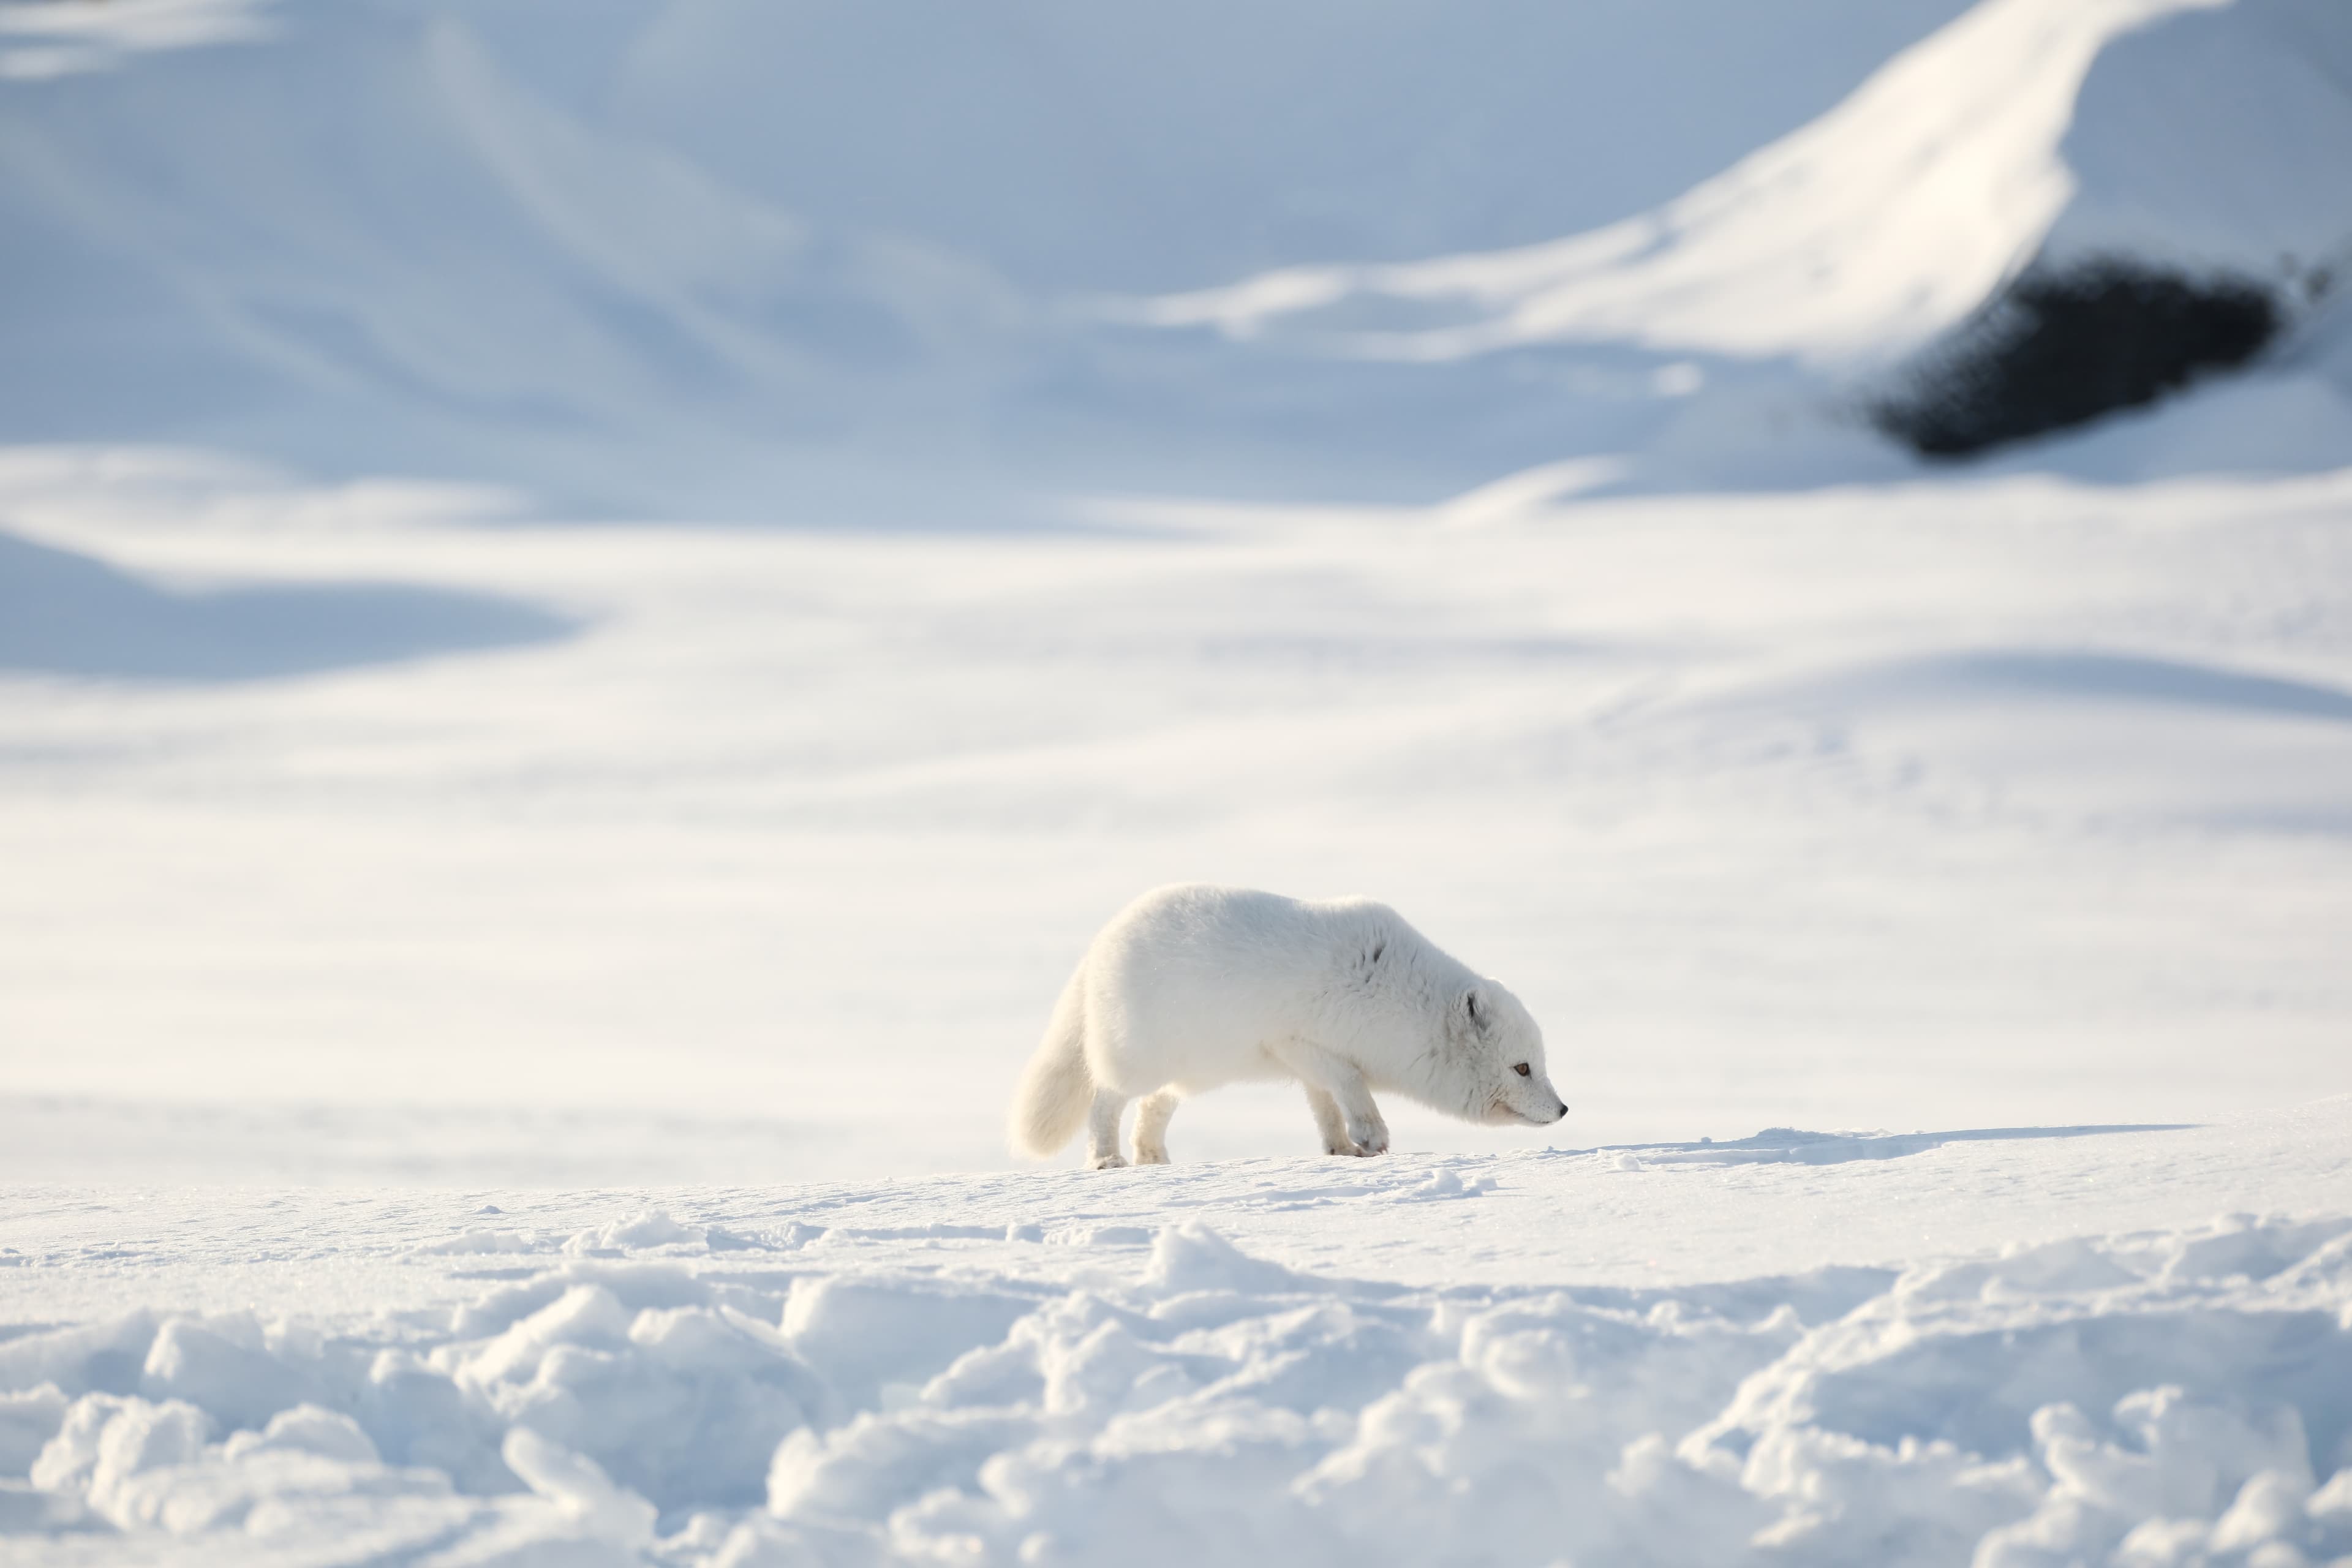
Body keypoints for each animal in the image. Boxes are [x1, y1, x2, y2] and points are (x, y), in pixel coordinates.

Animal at [1009, 884, 1567, 1167]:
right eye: (1522, 1068)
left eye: (1539, 1065)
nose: (1563, 1109)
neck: (1396, 994)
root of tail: (1100, 944)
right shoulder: (1297, 1041)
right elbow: (1350, 1085)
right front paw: (1372, 1136)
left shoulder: (1306, 1061)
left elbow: (1326, 1107)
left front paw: (1342, 1149)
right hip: (1139, 1060)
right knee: (1106, 1100)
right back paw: (1106, 1158)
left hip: (1194, 1073)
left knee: (1153, 1108)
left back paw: (1154, 1157)